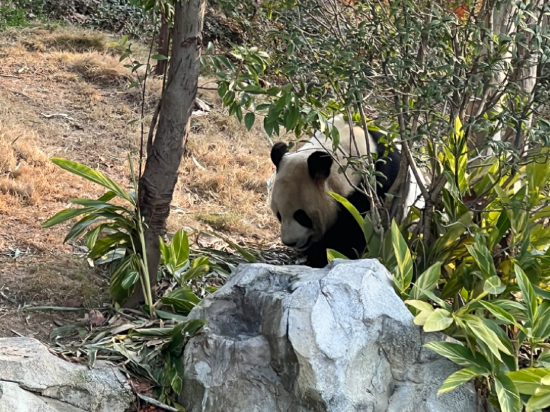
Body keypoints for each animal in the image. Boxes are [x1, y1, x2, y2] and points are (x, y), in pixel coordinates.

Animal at [270, 113, 422, 268]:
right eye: (279, 215)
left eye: (301, 216)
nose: (290, 242)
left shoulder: (382, 184)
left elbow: (353, 232)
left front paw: (321, 257)